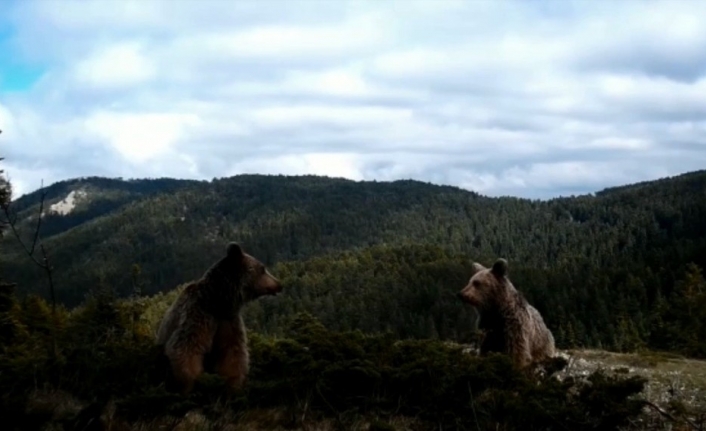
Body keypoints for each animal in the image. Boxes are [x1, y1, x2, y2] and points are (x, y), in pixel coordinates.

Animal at [155, 243, 282, 394]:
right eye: (262, 269)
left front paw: (233, 386)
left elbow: (233, 354)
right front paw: (189, 386)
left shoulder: (228, 321)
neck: (218, 301)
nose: (279, 284)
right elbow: (186, 349)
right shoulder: (198, 316)